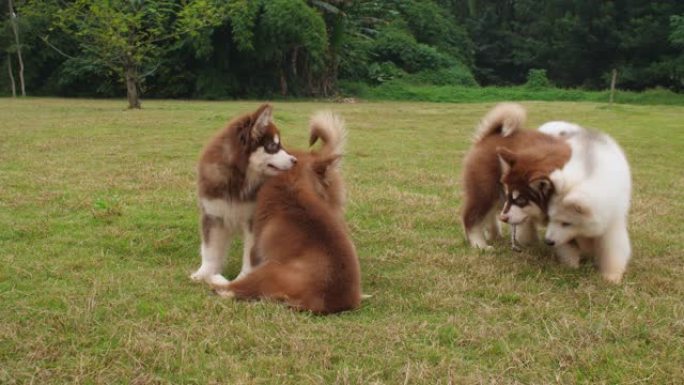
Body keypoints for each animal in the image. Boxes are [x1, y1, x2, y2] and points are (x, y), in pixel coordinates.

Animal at [192, 103, 300, 284]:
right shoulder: (213, 215)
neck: (239, 180)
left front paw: (244, 277)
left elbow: (250, 254)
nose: (295, 161)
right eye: (273, 147)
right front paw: (204, 273)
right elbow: (210, 250)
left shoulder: (253, 220)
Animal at [462, 102, 568, 248]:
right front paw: (532, 244)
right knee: (472, 218)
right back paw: (480, 245)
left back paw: (496, 236)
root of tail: (489, 136)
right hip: (484, 192)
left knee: (490, 217)